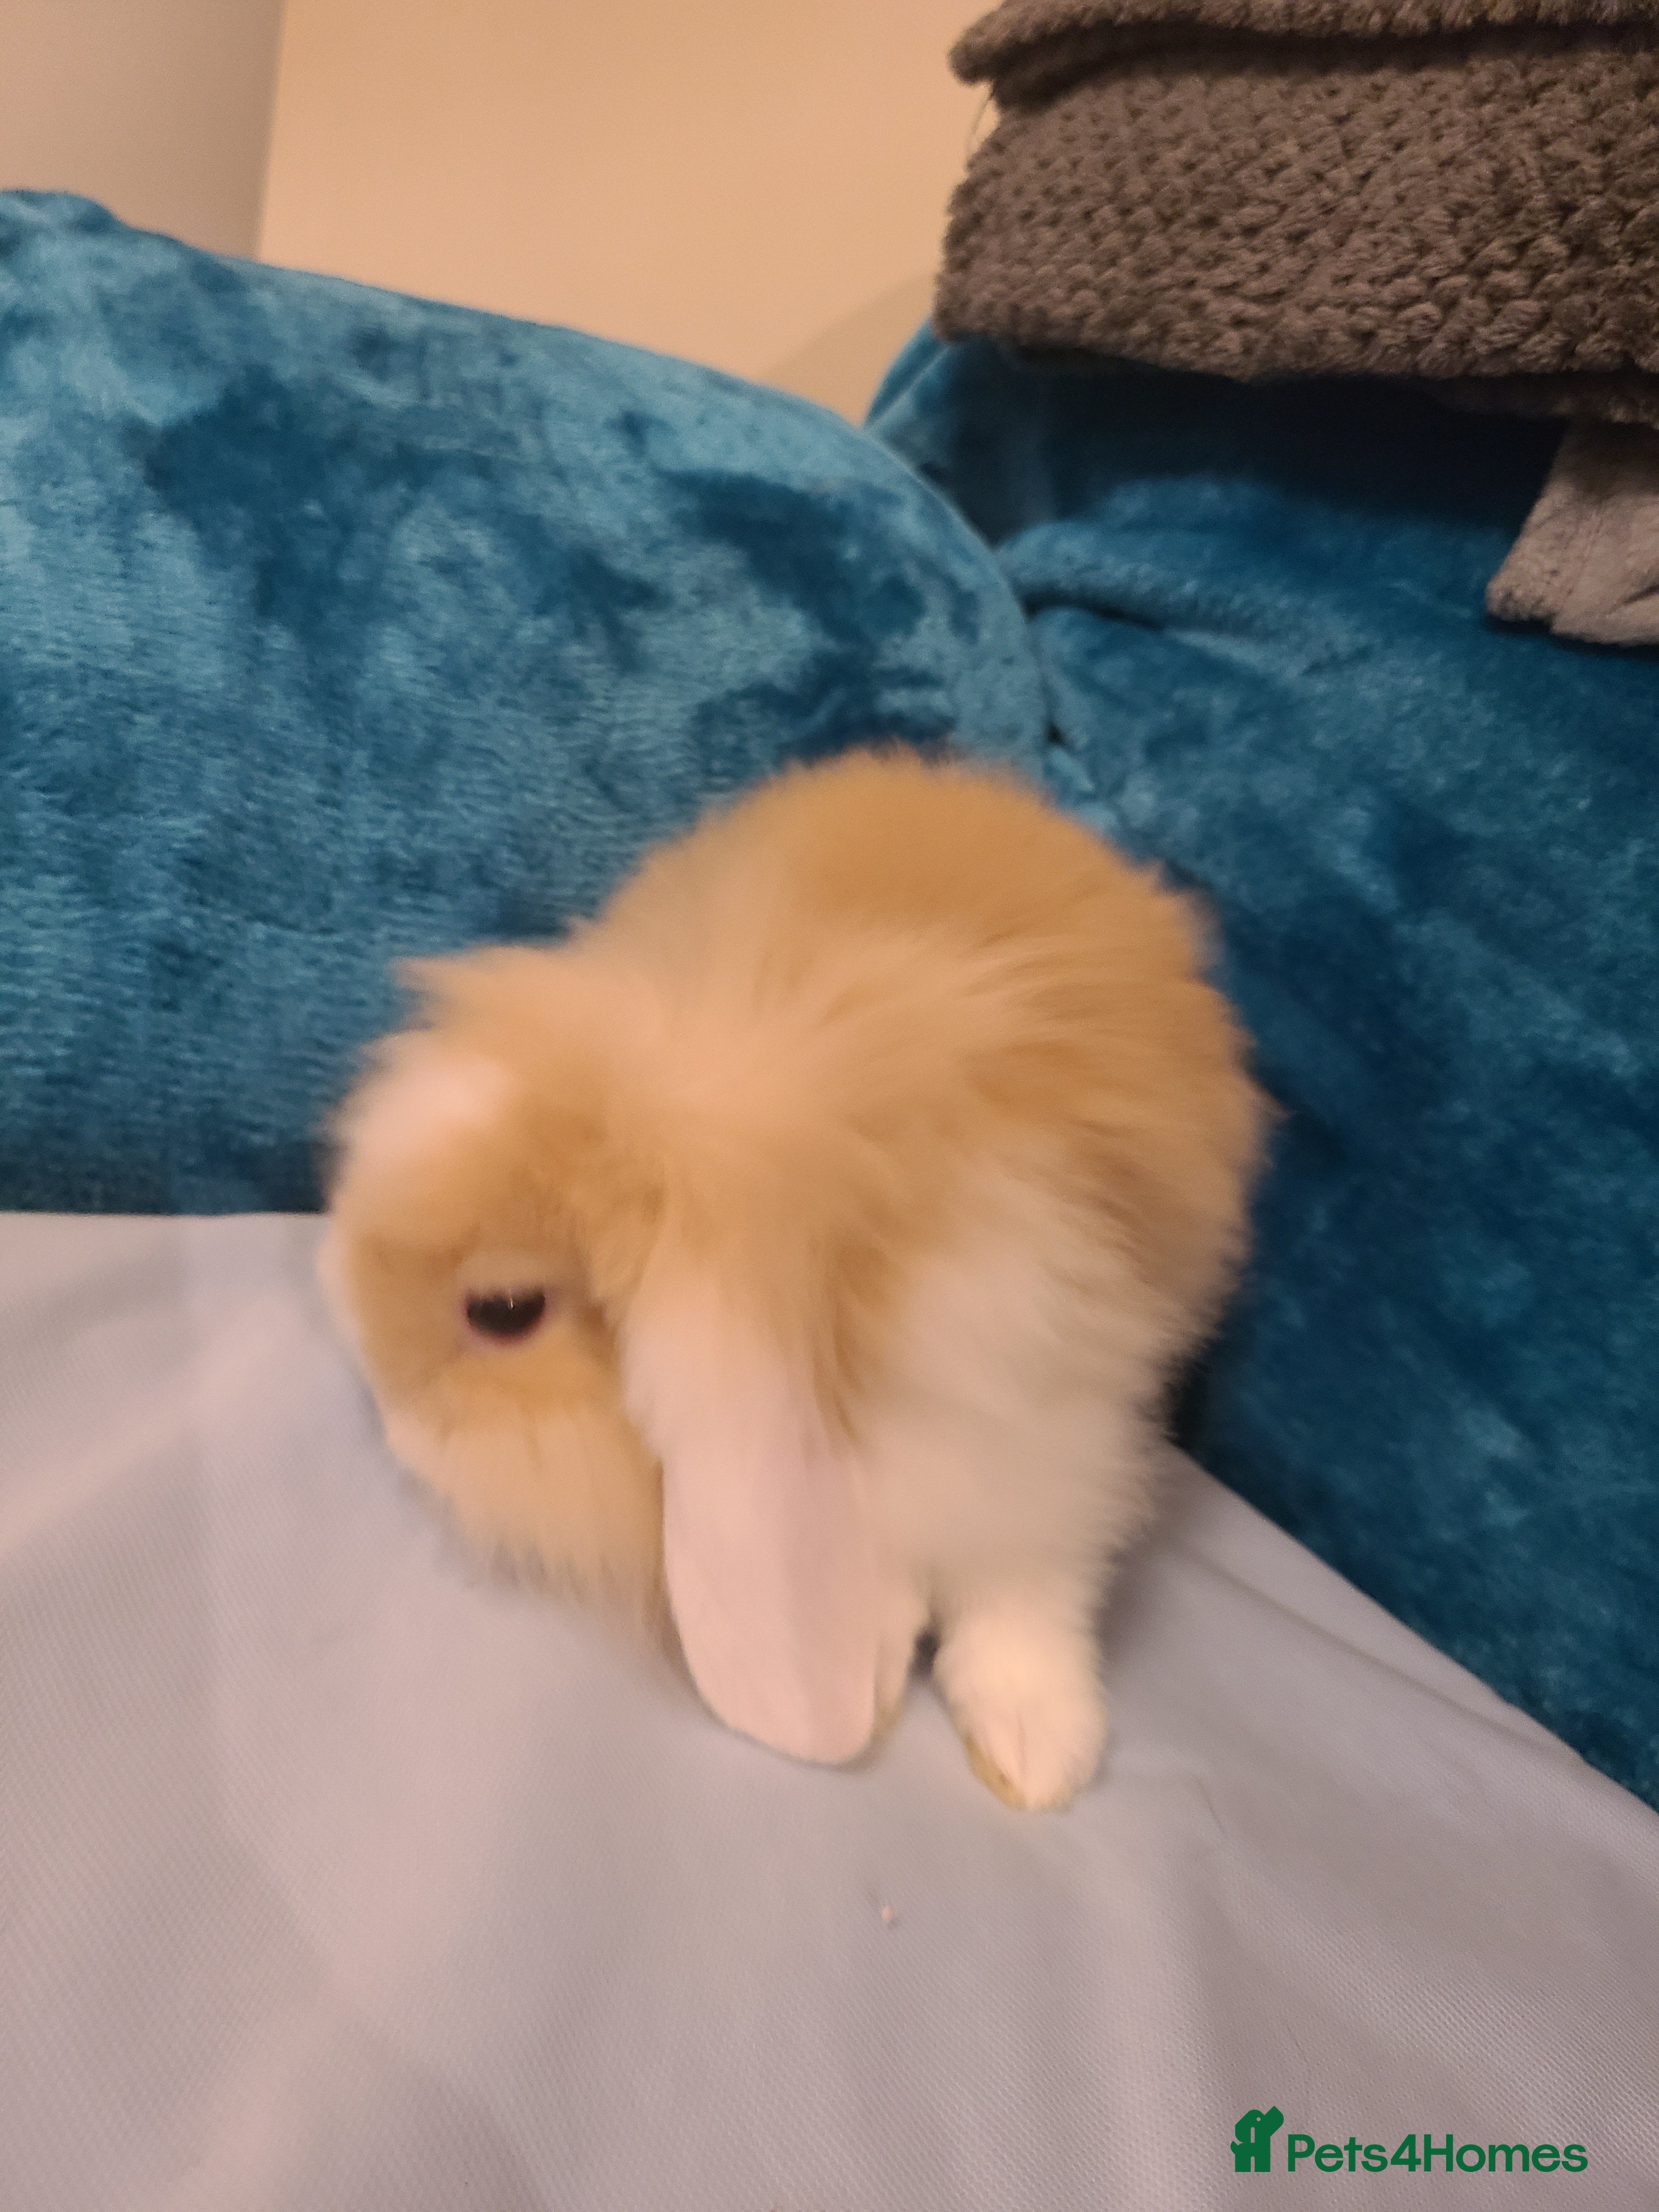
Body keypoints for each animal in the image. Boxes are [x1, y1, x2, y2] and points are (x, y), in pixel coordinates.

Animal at [321, 746, 1268, 1809]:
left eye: (505, 1311)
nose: (386, 1412)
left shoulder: (1049, 1430)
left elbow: (1023, 1594)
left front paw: (1036, 1751)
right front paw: (883, 1655)